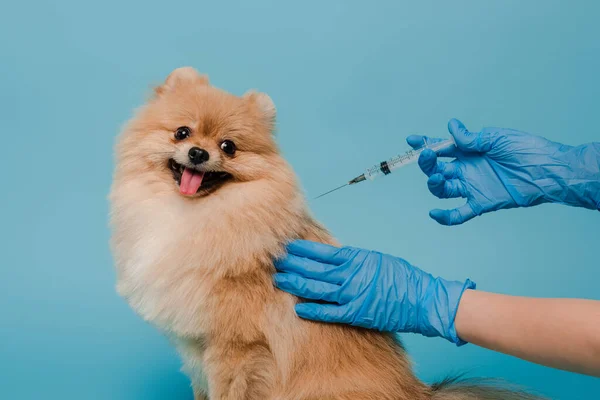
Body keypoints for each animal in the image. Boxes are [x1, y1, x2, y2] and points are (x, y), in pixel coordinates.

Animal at [110, 67, 540, 398]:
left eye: (228, 146)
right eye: (182, 133)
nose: (199, 153)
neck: (194, 216)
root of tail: (416, 393)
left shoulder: (235, 350)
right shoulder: (196, 351)